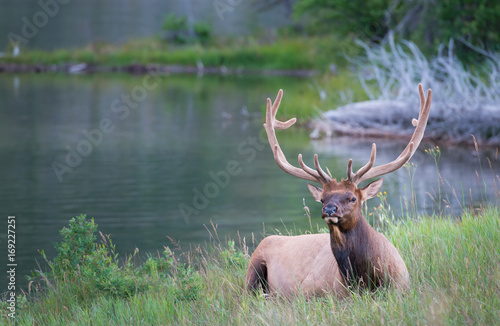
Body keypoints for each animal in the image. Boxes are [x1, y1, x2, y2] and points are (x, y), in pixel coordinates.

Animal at [244, 83, 432, 296]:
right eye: (323, 198)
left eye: (353, 198)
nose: (329, 210)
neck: (364, 280)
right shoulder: (308, 289)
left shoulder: (402, 285)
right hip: (254, 263)